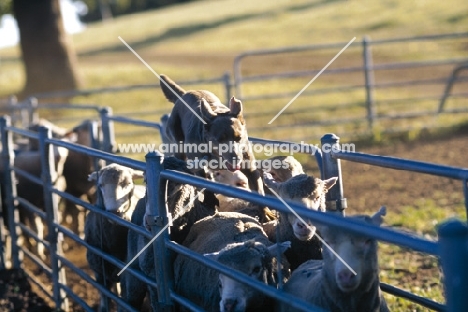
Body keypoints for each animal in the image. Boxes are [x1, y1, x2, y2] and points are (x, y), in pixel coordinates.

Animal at [83, 163, 144, 312]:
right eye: (100, 185)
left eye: (128, 183)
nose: (114, 212)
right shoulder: (99, 274)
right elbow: (105, 302)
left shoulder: (127, 279)